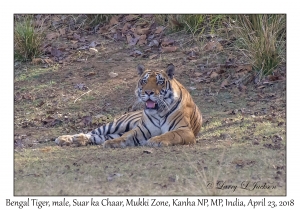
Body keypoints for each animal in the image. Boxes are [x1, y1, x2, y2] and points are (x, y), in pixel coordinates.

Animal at [55, 64, 203, 148]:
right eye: (144, 81)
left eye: (159, 82)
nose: (148, 92)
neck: (158, 111)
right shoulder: (140, 130)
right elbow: (126, 136)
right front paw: (112, 144)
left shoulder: (184, 130)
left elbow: (169, 135)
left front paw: (155, 140)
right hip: (117, 124)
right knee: (93, 132)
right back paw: (66, 139)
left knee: (99, 136)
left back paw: (77, 140)